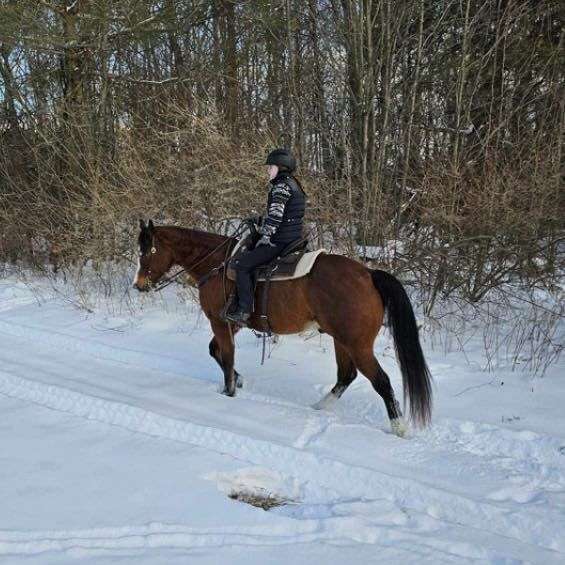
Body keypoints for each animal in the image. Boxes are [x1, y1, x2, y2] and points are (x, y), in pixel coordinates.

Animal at [133, 220, 432, 436]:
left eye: (147, 252)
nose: (138, 285)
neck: (217, 263)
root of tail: (369, 275)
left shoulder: (220, 321)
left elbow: (226, 356)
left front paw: (229, 392)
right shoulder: (233, 323)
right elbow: (215, 351)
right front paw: (238, 380)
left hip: (357, 344)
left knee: (381, 381)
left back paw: (399, 428)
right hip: (341, 340)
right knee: (346, 376)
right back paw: (319, 407)